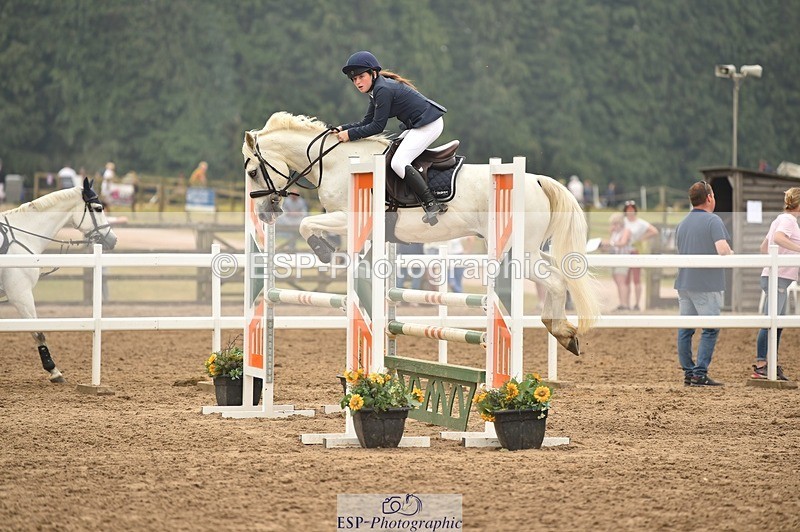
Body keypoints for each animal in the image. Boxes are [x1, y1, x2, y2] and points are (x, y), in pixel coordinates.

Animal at [0, 178, 118, 382]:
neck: (22, 236)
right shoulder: (20, 293)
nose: (113, 239)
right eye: (98, 208)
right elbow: (38, 333)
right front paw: (53, 370)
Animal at [242, 112, 600, 355]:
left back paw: (561, 331)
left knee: (555, 282)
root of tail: (538, 179)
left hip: (518, 253)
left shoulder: (348, 218)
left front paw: (324, 250)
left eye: (253, 171)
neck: (337, 162)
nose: (266, 214)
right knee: (559, 277)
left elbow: (307, 226)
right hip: (526, 249)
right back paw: (563, 331)